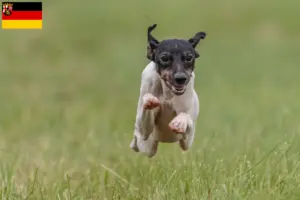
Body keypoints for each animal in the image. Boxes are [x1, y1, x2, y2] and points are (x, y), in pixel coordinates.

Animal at [129, 24, 206, 157]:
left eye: (189, 57)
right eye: (164, 58)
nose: (180, 78)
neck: (167, 94)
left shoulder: (187, 138)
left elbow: (187, 118)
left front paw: (179, 121)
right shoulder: (144, 132)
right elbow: (144, 122)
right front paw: (149, 100)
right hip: (148, 147)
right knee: (137, 140)